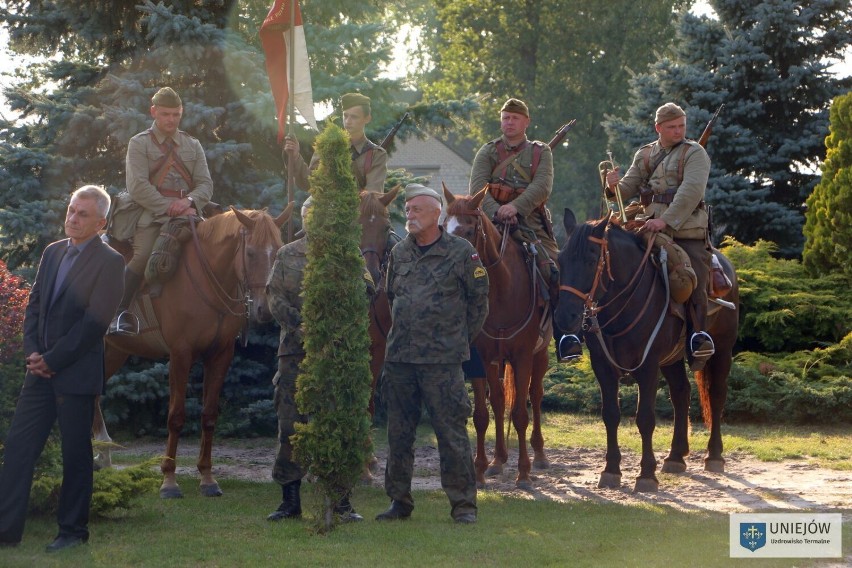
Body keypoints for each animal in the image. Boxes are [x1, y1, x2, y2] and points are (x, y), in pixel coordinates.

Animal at [93, 207, 292, 496]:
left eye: (276, 251)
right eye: (251, 253)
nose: (264, 310)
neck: (208, 279)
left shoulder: (221, 355)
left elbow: (208, 415)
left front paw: (207, 478)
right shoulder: (180, 354)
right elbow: (176, 416)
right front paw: (169, 480)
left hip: (114, 351)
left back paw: (102, 454)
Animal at [440, 185, 552, 488]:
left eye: (469, 230)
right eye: (443, 227)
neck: (503, 289)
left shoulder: (523, 357)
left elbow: (521, 413)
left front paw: (523, 473)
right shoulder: (481, 357)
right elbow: (481, 414)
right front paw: (479, 470)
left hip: (541, 354)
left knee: (535, 395)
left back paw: (539, 455)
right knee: (499, 400)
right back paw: (498, 460)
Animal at [556, 210, 736, 492]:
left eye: (591, 260)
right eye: (560, 260)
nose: (565, 316)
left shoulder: (648, 366)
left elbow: (645, 418)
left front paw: (646, 474)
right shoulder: (602, 367)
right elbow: (610, 414)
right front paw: (611, 470)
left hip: (723, 349)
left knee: (716, 396)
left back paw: (714, 456)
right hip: (672, 360)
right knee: (681, 394)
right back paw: (676, 456)